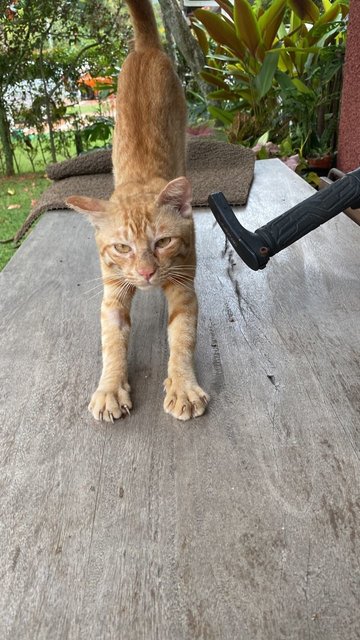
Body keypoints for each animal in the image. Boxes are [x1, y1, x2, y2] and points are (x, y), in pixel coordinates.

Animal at [66, 0, 210, 422]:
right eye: (122, 248)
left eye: (162, 242)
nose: (145, 273)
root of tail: (146, 47)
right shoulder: (113, 293)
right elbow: (112, 344)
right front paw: (110, 388)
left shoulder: (183, 288)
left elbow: (183, 339)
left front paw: (183, 386)